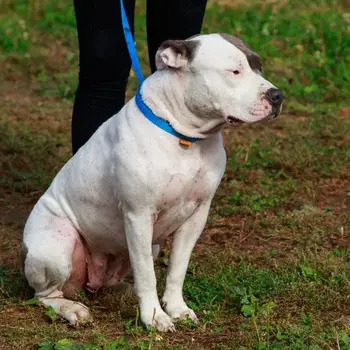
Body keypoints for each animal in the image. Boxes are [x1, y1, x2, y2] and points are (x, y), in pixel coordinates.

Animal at [21, 34, 284, 332]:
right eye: (235, 71)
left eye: (258, 66)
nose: (277, 95)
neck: (185, 137)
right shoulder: (139, 215)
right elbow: (147, 274)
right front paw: (155, 317)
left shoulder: (196, 215)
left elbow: (177, 268)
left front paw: (177, 308)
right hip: (56, 247)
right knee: (45, 295)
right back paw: (72, 309)